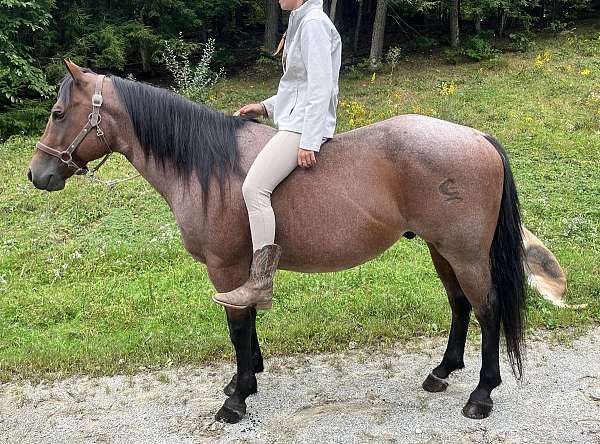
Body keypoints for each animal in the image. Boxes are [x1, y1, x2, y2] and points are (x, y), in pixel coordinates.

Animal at [27, 61, 564, 424]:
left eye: (58, 112)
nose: (37, 174)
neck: (207, 166)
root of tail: (477, 137)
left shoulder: (225, 269)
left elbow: (237, 326)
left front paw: (237, 397)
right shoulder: (241, 268)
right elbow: (247, 324)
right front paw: (246, 376)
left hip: (465, 253)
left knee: (487, 309)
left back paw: (482, 394)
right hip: (441, 250)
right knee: (460, 305)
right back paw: (443, 371)